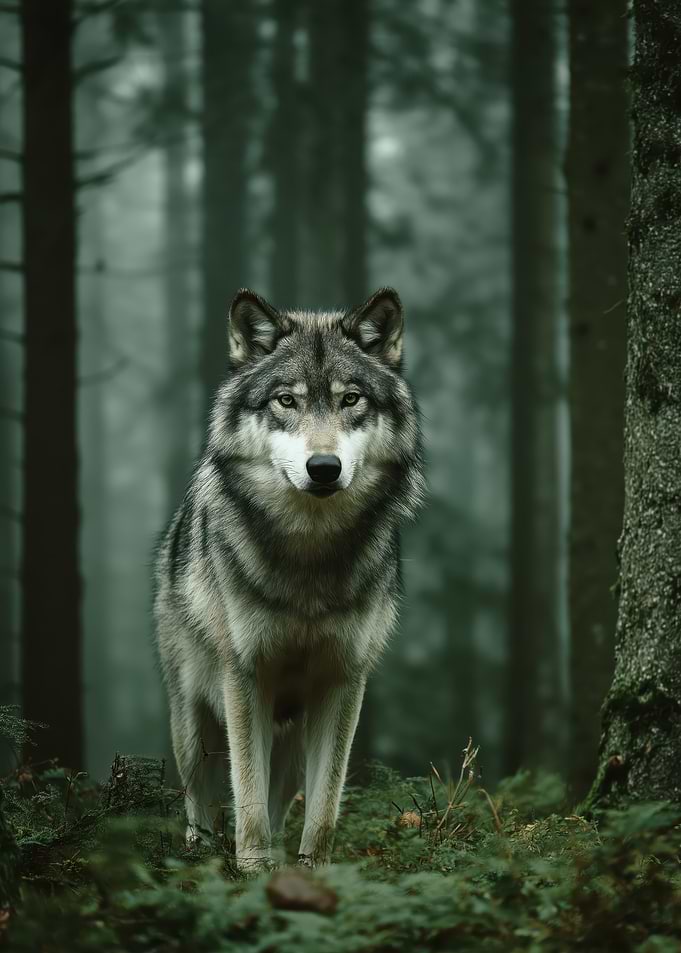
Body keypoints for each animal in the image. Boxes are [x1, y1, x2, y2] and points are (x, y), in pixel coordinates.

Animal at [153, 286, 424, 869]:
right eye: (285, 401)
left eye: (351, 400)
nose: (323, 468)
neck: (309, 556)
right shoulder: (244, 676)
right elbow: (247, 793)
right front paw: (254, 868)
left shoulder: (344, 680)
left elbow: (325, 804)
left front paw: (311, 871)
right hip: (192, 724)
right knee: (199, 795)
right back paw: (200, 850)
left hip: (294, 739)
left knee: (283, 797)